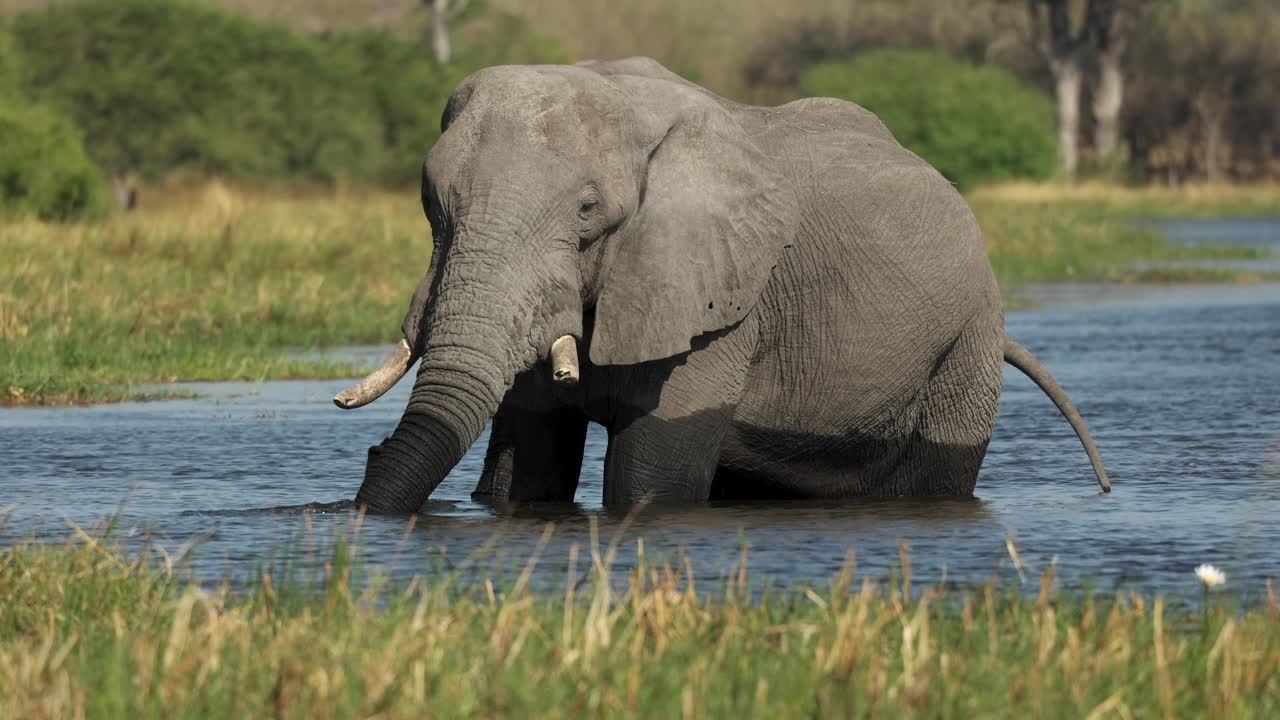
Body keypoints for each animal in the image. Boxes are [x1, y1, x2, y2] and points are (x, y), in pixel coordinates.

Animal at [335, 57, 1110, 513]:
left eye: (588, 213)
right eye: (432, 205)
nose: (364, 464)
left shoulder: (721, 304)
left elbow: (650, 484)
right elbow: (526, 472)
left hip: (967, 338)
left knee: (936, 475)